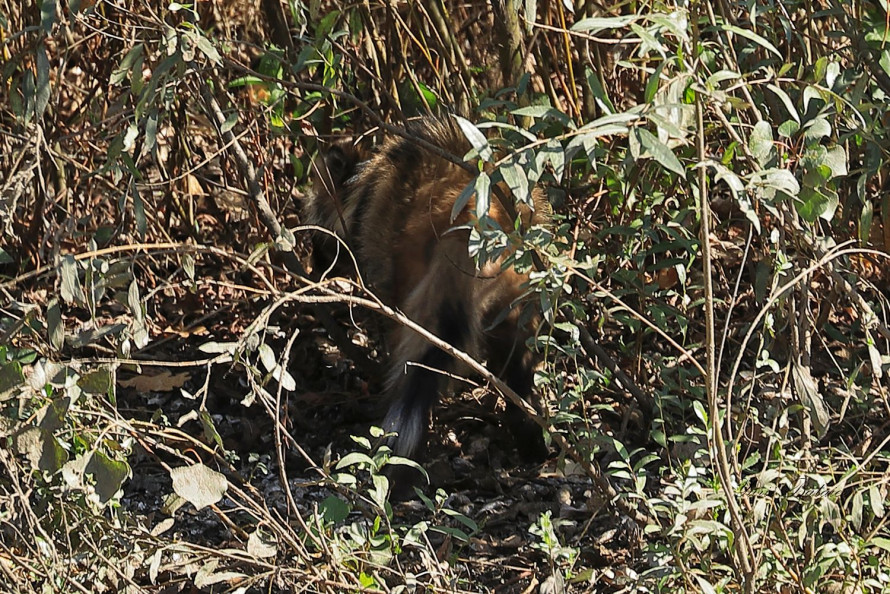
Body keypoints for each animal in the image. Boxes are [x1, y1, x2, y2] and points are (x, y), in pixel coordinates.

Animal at [306, 117, 548, 462]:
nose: (313, 265)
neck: (364, 178)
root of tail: (479, 213)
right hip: (522, 290)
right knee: (519, 361)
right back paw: (529, 431)